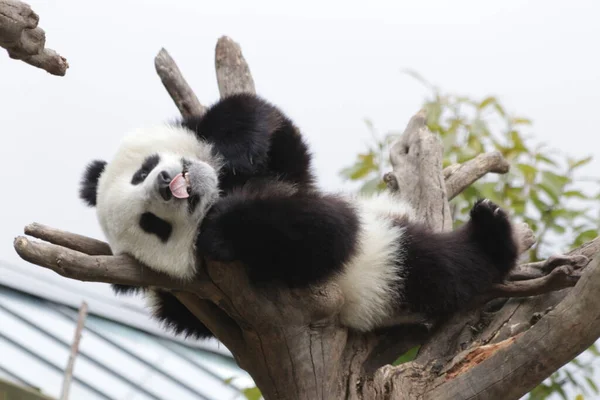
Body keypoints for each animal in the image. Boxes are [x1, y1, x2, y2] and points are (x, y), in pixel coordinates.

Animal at [78, 93, 528, 338]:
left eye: (141, 172)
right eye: (153, 225)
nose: (164, 182)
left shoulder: (286, 168)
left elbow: (267, 126)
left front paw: (232, 147)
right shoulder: (225, 292)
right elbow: (326, 232)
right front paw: (226, 221)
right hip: (381, 273)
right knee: (436, 266)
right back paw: (491, 237)